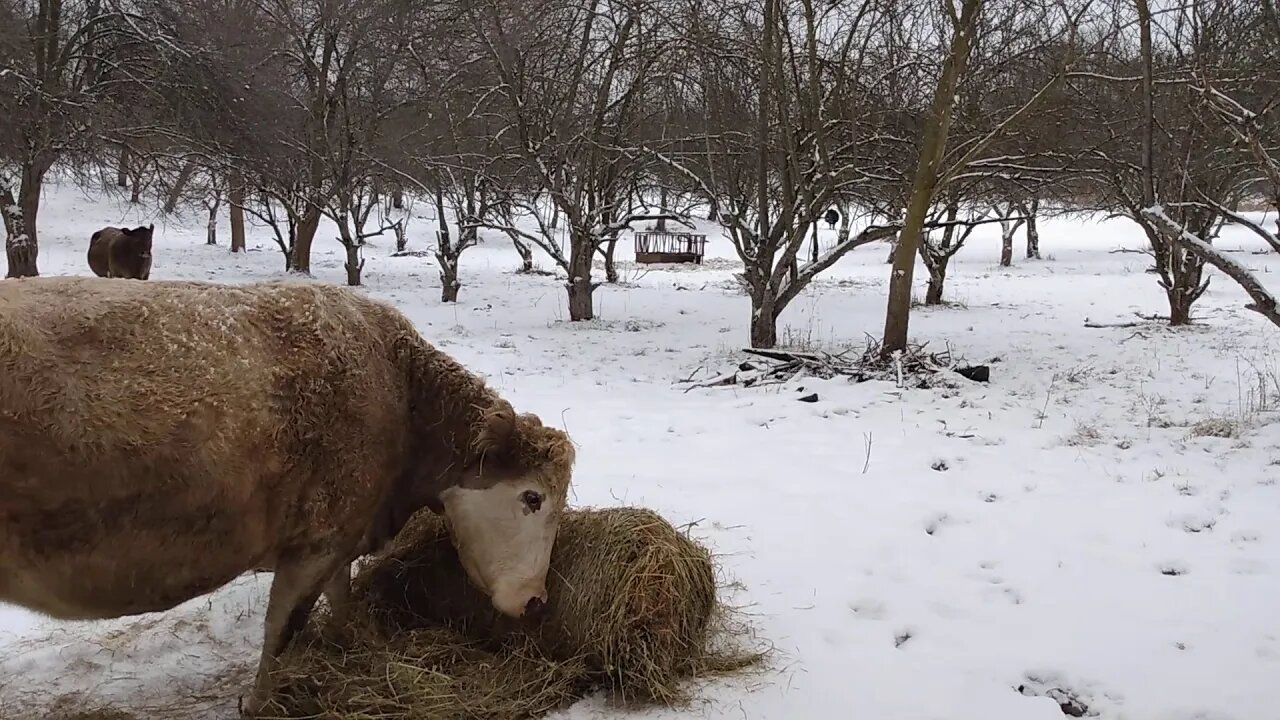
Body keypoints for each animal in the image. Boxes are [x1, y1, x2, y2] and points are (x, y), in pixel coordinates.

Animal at [0, 275, 576, 712]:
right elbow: (282, 634)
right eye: (532, 498)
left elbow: (340, 601)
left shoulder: (343, 537)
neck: (400, 397)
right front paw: (263, 703)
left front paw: (350, 646)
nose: (535, 600)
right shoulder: (315, 543)